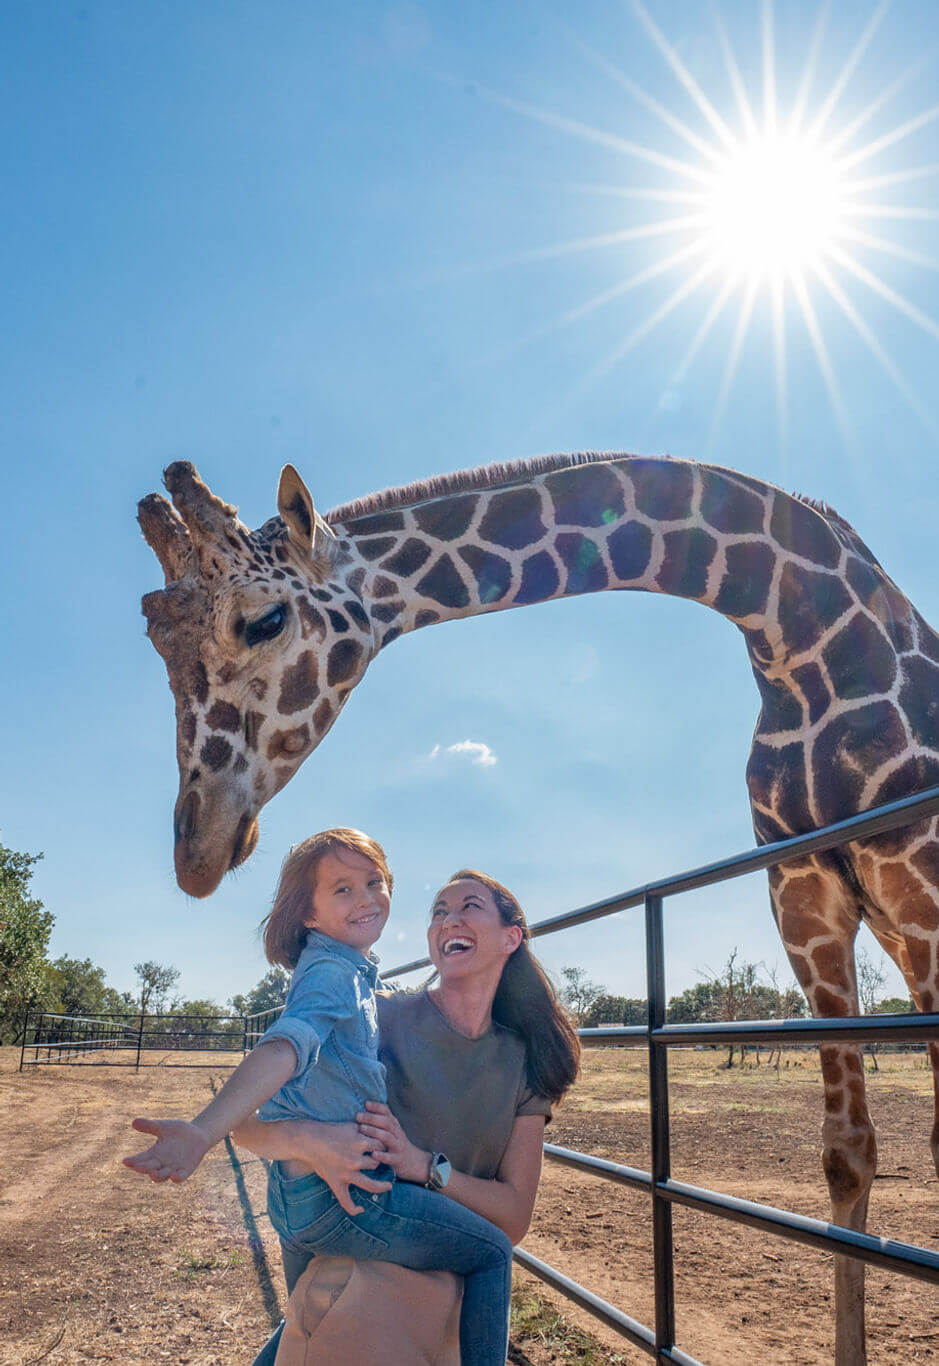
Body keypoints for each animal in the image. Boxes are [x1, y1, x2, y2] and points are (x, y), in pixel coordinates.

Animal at [140, 452, 939, 1364]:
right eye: (155, 638)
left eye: (264, 620)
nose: (197, 851)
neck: (801, 641)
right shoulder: (803, 896)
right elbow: (846, 1153)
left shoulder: (918, 887)